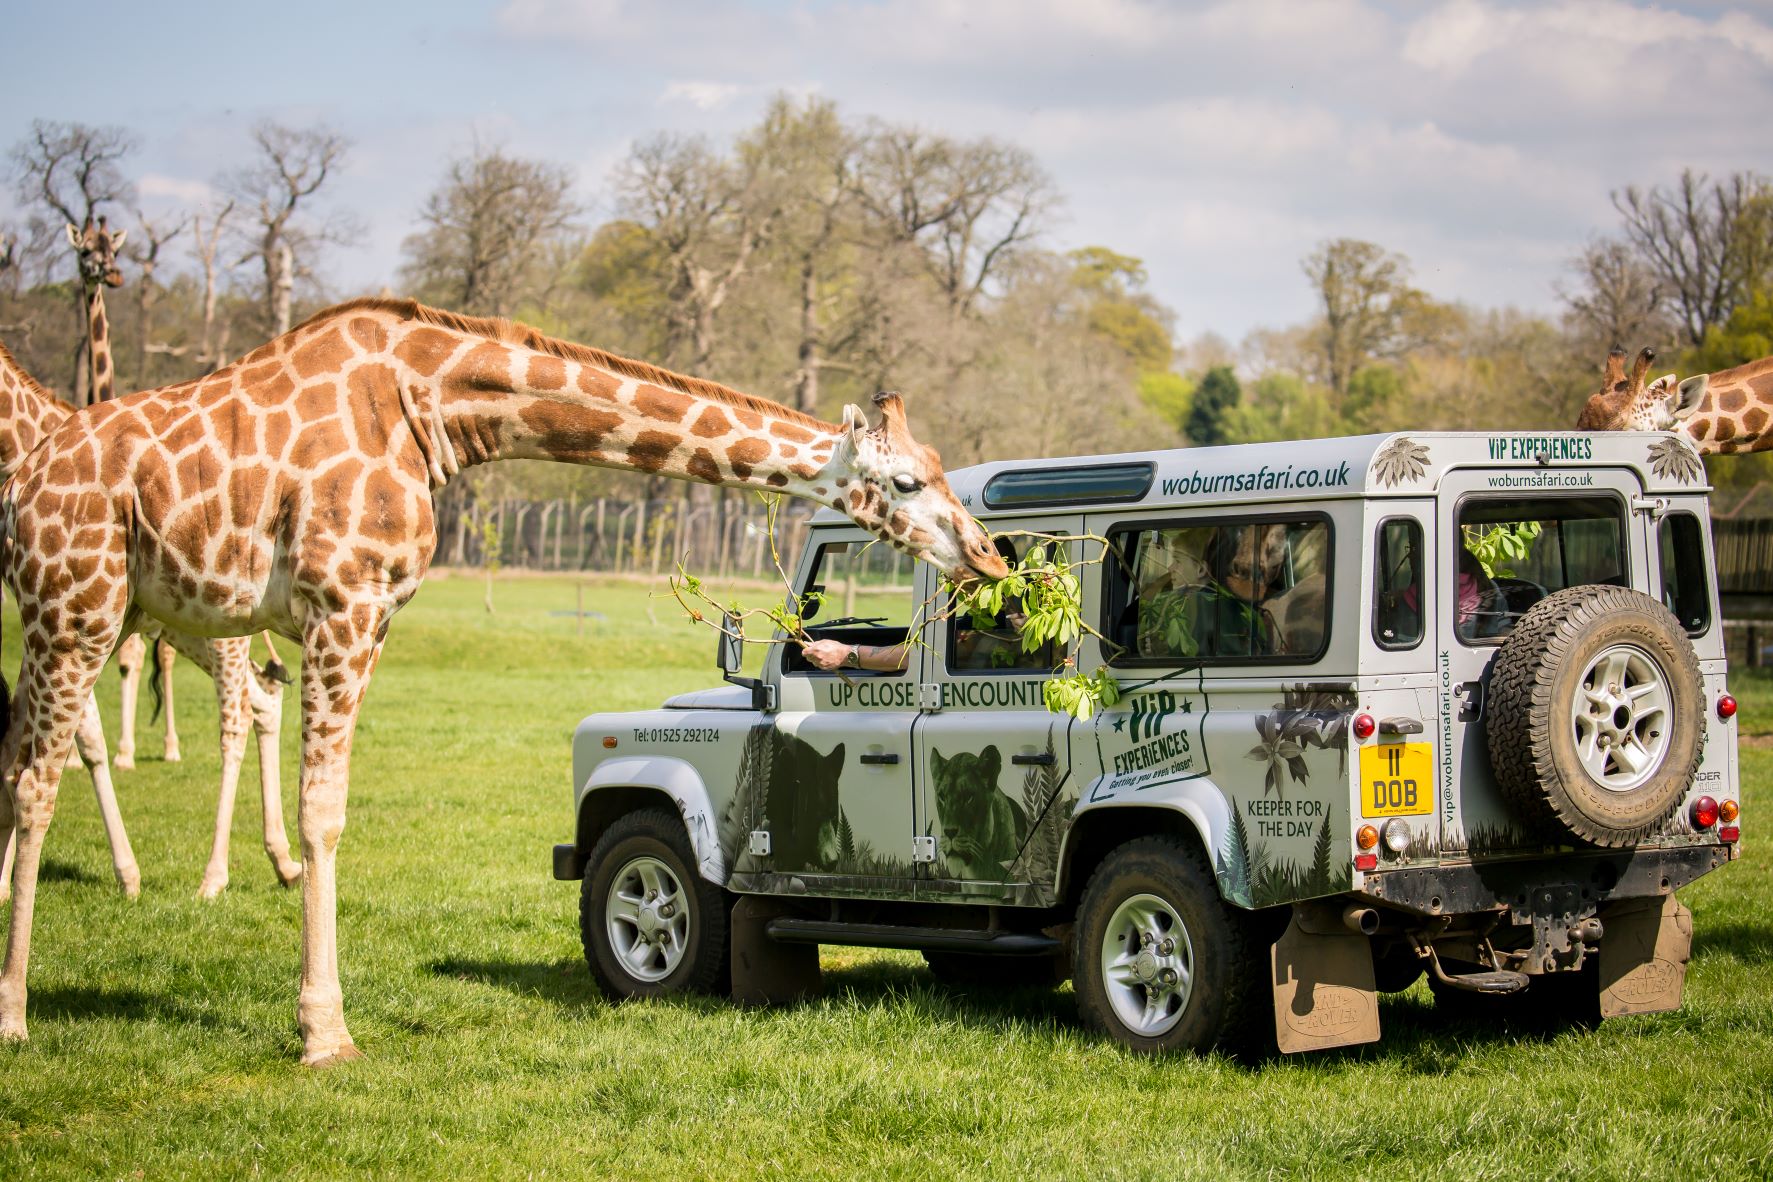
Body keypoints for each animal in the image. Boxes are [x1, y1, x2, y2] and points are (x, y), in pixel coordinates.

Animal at [0, 347, 297, 900]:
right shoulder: (47, 627)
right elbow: (20, 742)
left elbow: (83, 743)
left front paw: (126, 874)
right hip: (188, 630)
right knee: (264, 698)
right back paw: (284, 862)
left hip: (214, 636)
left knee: (236, 722)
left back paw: (214, 875)